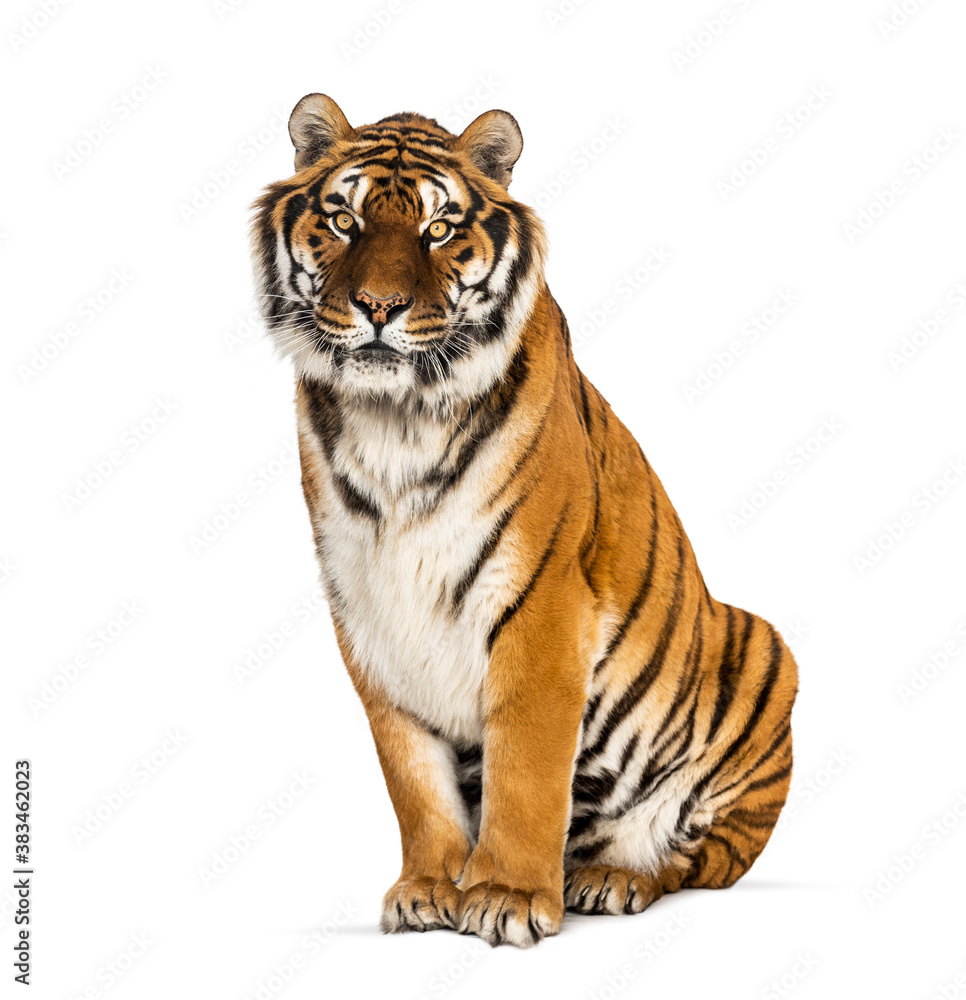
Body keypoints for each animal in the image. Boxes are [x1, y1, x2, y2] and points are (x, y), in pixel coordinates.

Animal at [250, 94, 798, 949]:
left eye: (439, 228)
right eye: (343, 219)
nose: (379, 308)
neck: (395, 422)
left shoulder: (541, 600)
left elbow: (528, 766)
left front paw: (505, 895)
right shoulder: (369, 611)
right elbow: (413, 775)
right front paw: (428, 888)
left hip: (766, 653)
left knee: (699, 858)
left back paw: (613, 878)